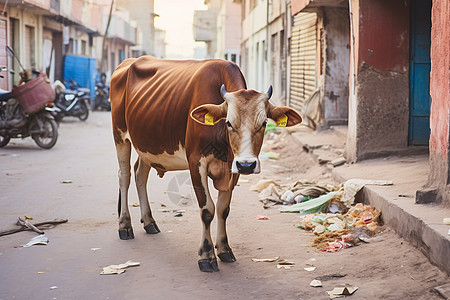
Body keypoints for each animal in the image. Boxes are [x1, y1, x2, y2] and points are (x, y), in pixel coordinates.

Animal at [110, 56, 302, 272]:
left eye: (263, 124)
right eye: (228, 123)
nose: (247, 165)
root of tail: (126, 63)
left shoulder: (232, 168)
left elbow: (223, 209)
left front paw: (224, 249)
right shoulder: (196, 164)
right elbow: (207, 210)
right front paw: (206, 255)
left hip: (147, 144)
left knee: (139, 175)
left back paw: (149, 222)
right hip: (120, 135)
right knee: (124, 176)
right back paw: (125, 225)